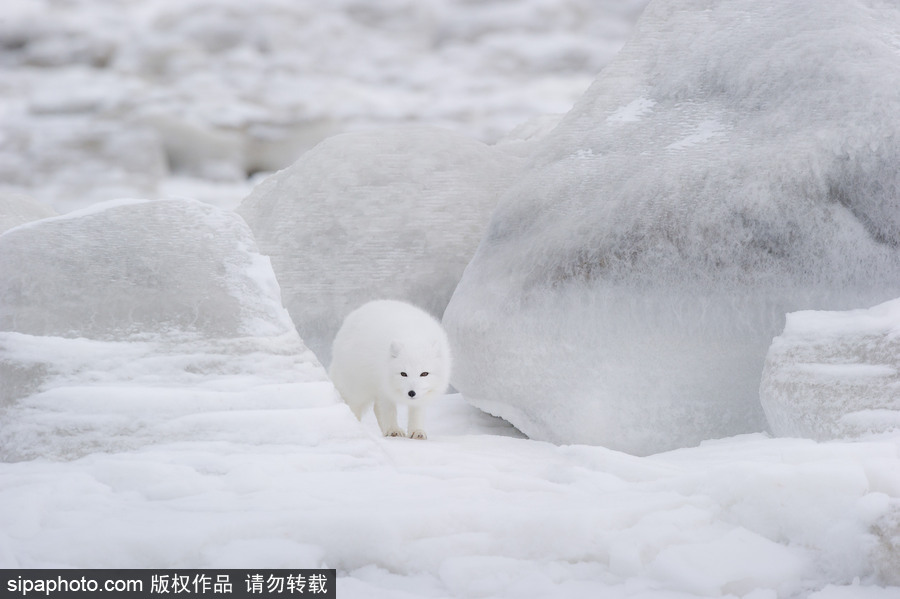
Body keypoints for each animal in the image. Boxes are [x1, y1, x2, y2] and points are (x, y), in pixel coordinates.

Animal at [328, 302, 450, 438]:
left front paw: (417, 432)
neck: (413, 337)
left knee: (375, 408)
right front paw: (393, 431)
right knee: (354, 406)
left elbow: (416, 413)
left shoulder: (421, 395)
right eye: (403, 374)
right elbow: (388, 412)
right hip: (358, 387)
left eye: (424, 374)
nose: (411, 393)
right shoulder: (383, 388)